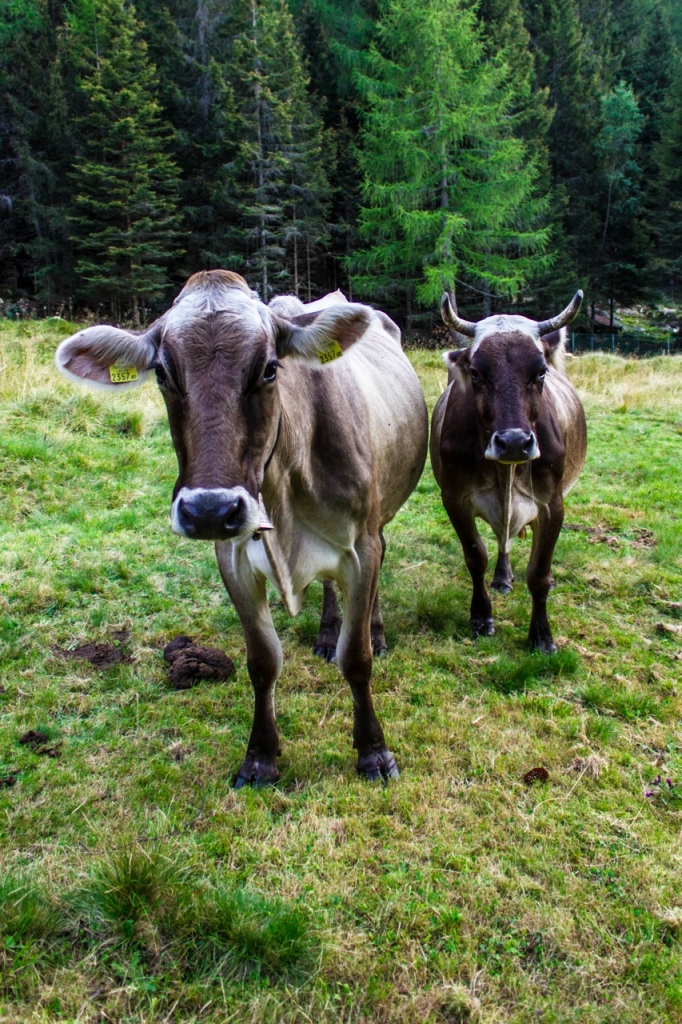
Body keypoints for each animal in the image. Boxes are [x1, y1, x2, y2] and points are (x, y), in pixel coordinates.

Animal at [55, 270, 425, 782]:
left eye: (269, 368)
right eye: (163, 373)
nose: (210, 510)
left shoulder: (361, 546)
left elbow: (356, 657)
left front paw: (374, 752)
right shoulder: (231, 556)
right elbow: (263, 661)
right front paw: (260, 756)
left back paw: (375, 629)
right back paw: (326, 632)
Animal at [430, 292, 585, 651]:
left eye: (540, 372)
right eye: (476, 373)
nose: (513, 442)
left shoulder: (552, 505)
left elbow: (539, 573)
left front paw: (541, 635)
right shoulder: (455, 499)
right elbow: (476, 557)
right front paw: (481, 617)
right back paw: (501, 578)